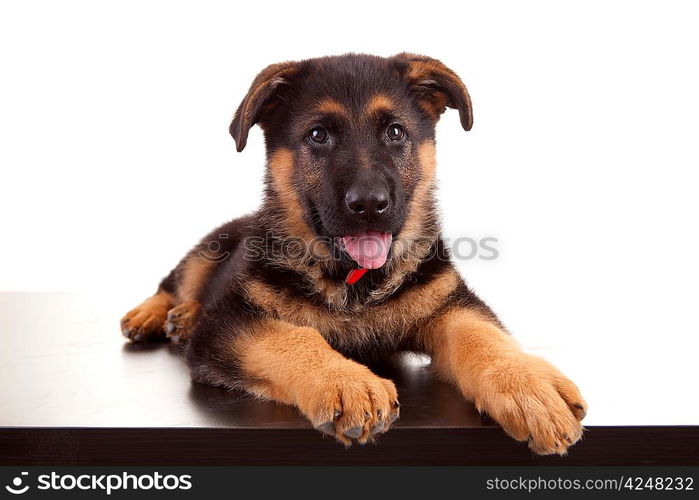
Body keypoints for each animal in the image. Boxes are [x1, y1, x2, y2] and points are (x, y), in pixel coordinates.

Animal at [120, 53, 584, 454]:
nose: (369, 204)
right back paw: (157, 314)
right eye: (318, 135)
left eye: (395, 132)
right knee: (175, 282)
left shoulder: (448, 303)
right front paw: (345, 381)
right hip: (208, 250)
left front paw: (527, 382)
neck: (355, 282)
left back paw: (183, 317)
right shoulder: (228, 326)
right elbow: (289, 336)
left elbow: (481, 335)